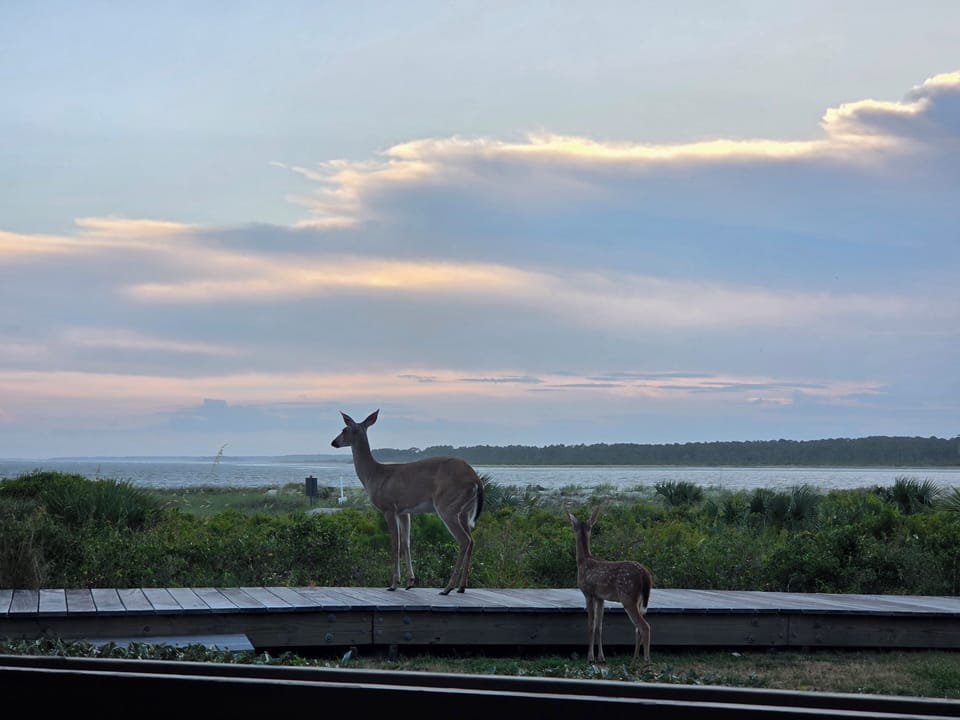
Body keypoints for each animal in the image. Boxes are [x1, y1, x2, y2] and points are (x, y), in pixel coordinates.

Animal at [330, 409, 485, 595]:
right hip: (464, 510)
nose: (333, 442)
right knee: (472, 540)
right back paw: (461, 587)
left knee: (464, 540)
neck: (374, 475)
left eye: (344, 429)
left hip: (447, 505)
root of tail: (476, 479)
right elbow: (406, 542)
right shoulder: (404, 511)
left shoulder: (389, 507)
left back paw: (448, 588)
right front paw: (410, 581)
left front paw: (394, 583)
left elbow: (395, 543)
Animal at [567, 507, 653, 668]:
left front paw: (590, 658)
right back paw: (633, 661)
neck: (583, 561)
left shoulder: (588, 593)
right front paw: (601, 657)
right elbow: (599, 626)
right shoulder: (601, 598)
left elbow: (590, 625)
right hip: (639, 600)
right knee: (638, 628)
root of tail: (645, 575)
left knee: (644, 626)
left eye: (573, 526)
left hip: (628, 597)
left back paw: (646, 663)